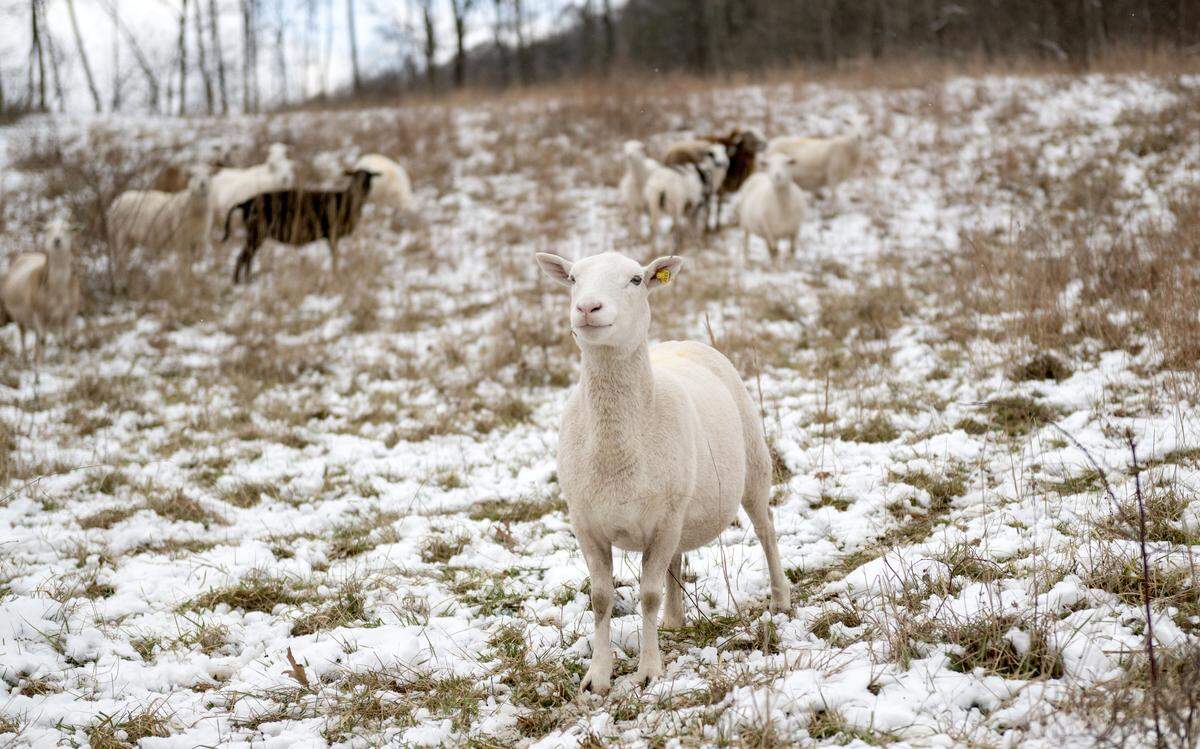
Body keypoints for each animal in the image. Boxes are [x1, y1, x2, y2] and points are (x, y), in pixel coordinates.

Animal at [1, 216, 82, 362]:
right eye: (47, 230)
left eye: (67, 229)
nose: (57, 240)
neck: (58, 290)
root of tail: (29, 254)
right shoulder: (39, 314)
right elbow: (43, 339)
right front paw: (41, 364)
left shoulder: (69, 314)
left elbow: (66, 340)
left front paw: (67, 363)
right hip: (18, 315)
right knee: (23, 334)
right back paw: (25, 359)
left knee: (37, 336)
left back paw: (35, 357)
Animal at [222, 169, 379, 283]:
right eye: (355, 177)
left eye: (369, 179)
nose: (360, 191)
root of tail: (245, 203)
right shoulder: (332, 234)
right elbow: (335, 256)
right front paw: (336, 274)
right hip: (256, 233)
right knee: (244, 257)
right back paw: (239, 282)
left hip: (255, 234)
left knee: (247, 257)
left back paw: (244, 280)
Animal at [534, 251, 790, 695]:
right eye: (573, 278)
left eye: (636, 280)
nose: (587, 308)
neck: (616, 449)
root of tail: (681, 342)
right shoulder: (586, 523)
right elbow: (600, 598)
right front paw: (597, 677)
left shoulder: (663, 521)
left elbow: (648, 595)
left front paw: (649, 671)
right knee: (677, 560)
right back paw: (674, 621)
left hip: (753, 465)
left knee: (765, 529)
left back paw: (779, 599)